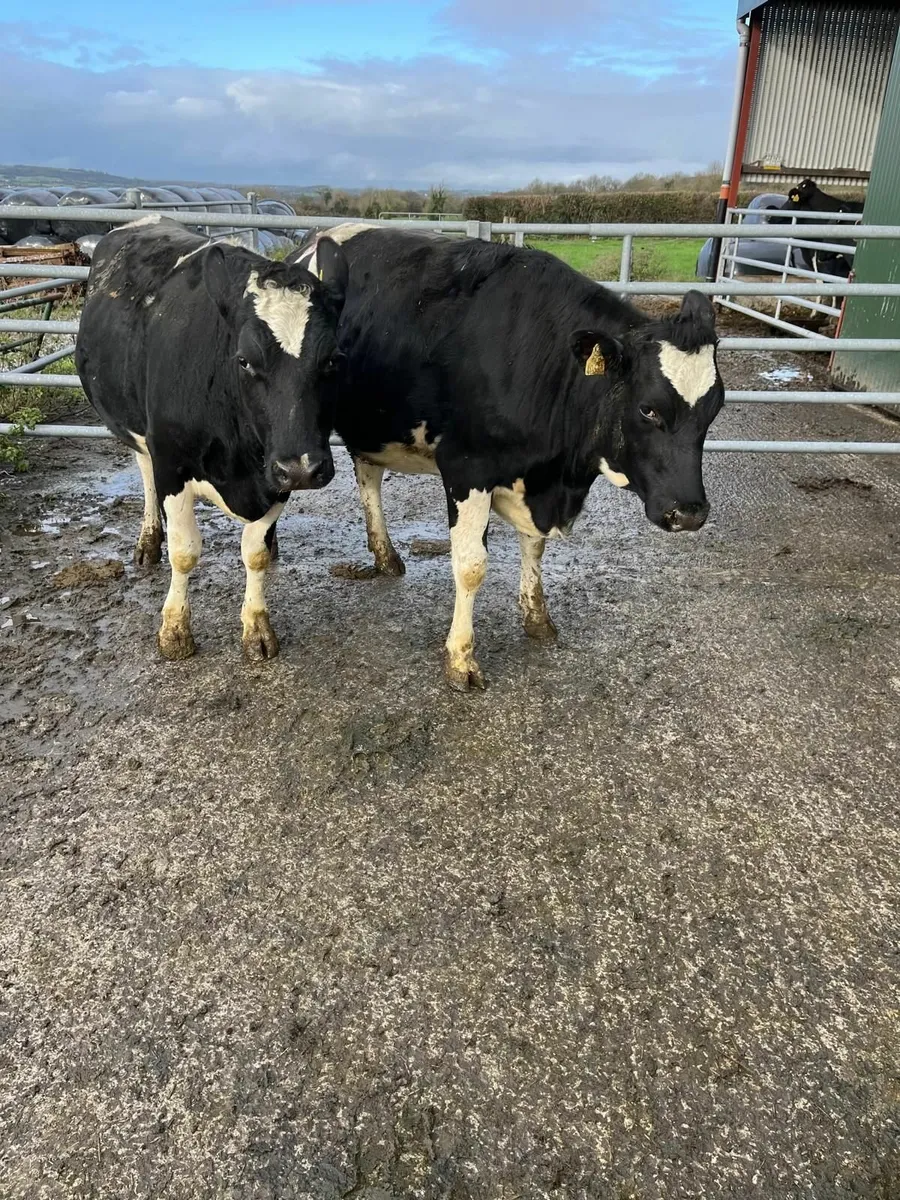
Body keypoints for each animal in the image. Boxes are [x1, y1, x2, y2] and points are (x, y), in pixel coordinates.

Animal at [75, 216, 348, 661]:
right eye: (244, 360)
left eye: (332, 359)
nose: (303, 469)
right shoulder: (173, 463)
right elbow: (185, 552)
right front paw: (174, 630)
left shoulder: (274, 476)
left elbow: (254, 553)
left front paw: (256, 627)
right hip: (139, 434)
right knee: (144, 472)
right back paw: (149, 540)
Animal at [288, 226, 724, 691]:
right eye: (648, 409)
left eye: (717, 406)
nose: (690, 512)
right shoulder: (465, 467)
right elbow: (471, 565)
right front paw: (461, 659)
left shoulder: (535, 480)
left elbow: (534, 547)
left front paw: (537, 619)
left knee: (368, 476)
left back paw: (385, 556)